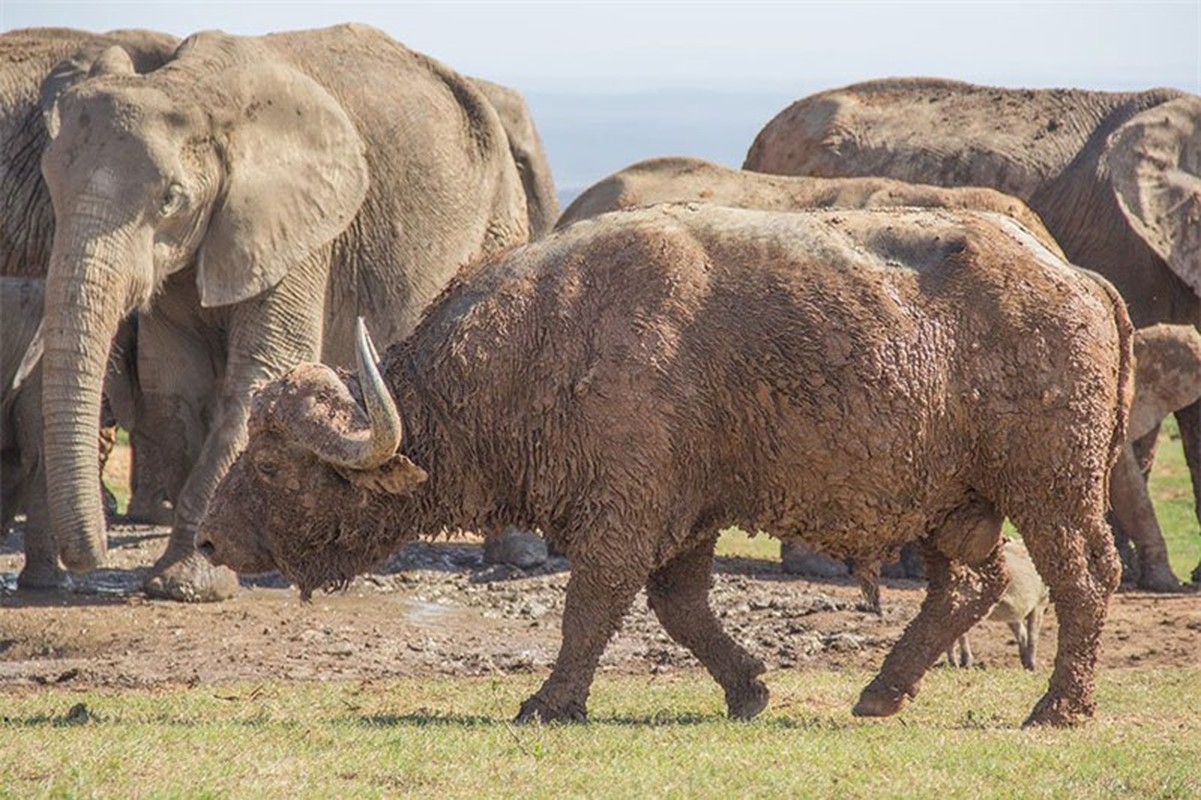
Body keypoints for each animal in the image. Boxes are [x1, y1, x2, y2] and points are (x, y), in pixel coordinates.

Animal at [39, 21, 528, 598]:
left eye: (171, 200)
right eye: (50, 186)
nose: (87, 562)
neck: (193, 90)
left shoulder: (302, 229)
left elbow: (258, 374)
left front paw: (187, 586)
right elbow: (173, 386)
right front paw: (179, 576)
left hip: (501, 212)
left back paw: (516, 557)